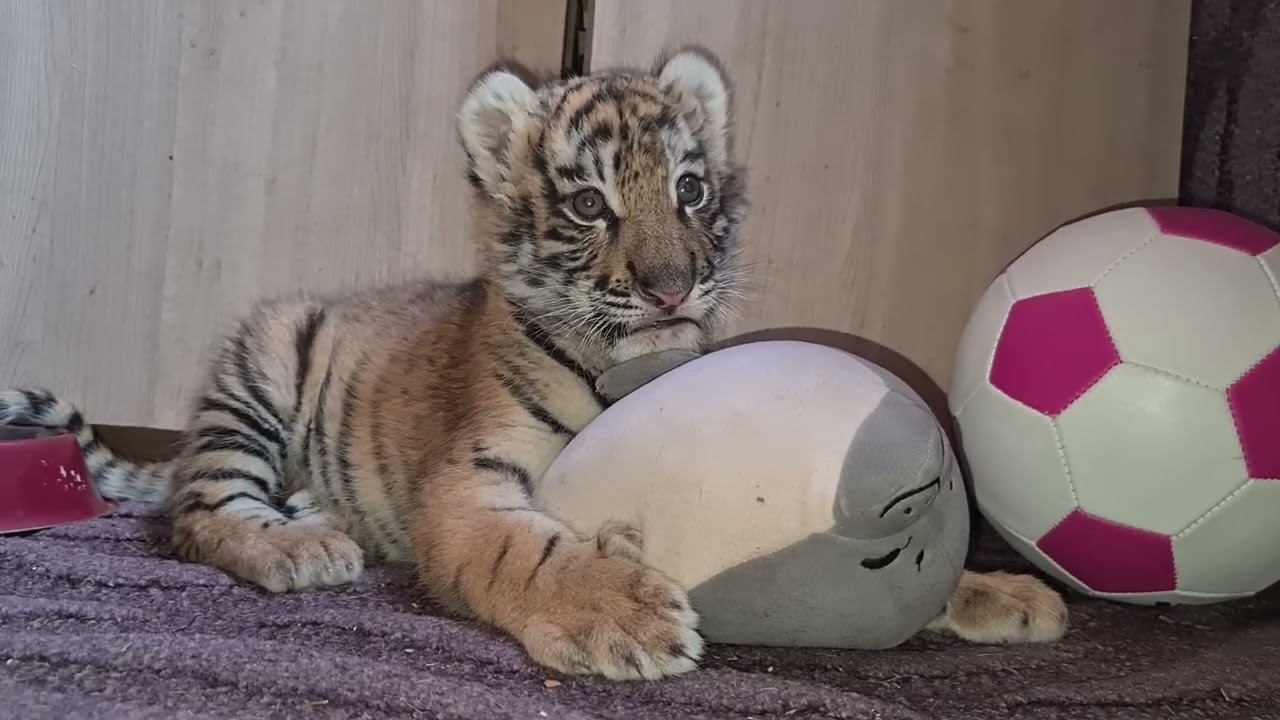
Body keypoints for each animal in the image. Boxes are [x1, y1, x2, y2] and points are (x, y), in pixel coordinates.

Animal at [0, 47, 1066, 680]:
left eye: (689, 190)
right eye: (590, 205)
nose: (673, 289)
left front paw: (1001, 594)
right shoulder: (470, 481)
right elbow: (523, 551)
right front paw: (626, 617)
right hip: (261, 368)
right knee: (197, 515)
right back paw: (296, 545)